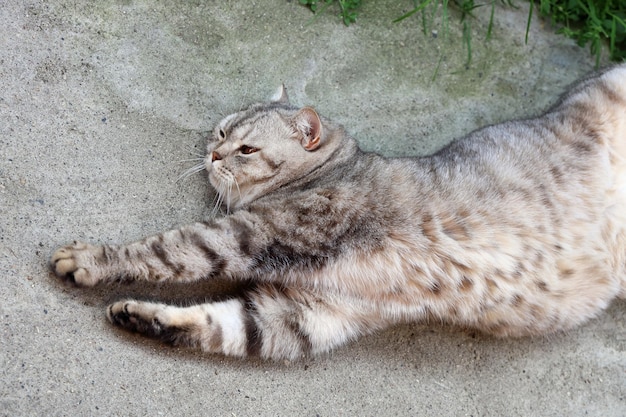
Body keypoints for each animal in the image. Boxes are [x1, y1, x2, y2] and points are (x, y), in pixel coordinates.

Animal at [52, 63, 624, 360]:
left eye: (247, 149)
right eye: (221, 131)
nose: (214, 154)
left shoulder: (248, 233)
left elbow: (168, 249)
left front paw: (91, 259)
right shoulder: (313, 313)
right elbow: (221, 325)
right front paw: (141, 315)